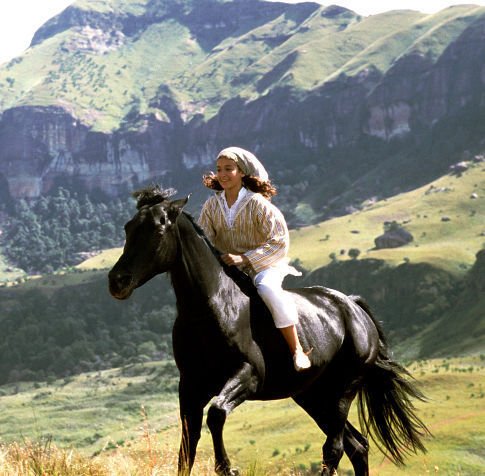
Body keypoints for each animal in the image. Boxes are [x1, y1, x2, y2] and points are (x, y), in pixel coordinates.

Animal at [108, 188, 428, 474]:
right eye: (128, 227)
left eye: (158, 229)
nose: (117, 281)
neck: (213, 307)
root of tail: (353, 307)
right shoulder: (190, 386)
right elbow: (186, 449)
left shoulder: (249, 375)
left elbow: (216, 414)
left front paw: (227, 467)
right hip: (313, 396)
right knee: (357, 447)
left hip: (342, 391)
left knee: (335, 448)